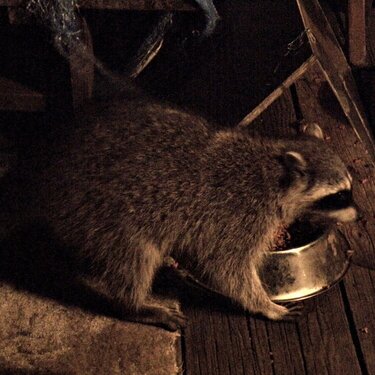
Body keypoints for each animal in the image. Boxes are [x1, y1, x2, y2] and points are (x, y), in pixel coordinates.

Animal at [0, 94, 358, 332]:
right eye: (339, 195)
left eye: (349, 189)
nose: (360, 216)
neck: (273, 167)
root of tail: (43, 175)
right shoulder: (237, 216)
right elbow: (225, 268)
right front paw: (265, 305)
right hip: (101, 214)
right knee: (135, 258)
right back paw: (134, 305)